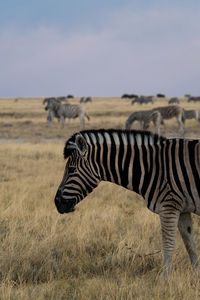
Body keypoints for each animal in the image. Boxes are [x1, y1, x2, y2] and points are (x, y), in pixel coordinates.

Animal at [54, 129, 200, 276]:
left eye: (71, 170)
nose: (56, 202)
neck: (151, 167)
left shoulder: (168, 207)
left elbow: (168, 245)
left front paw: (166, 278)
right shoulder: (182, 209)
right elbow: (190, 244)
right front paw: (195, 275)